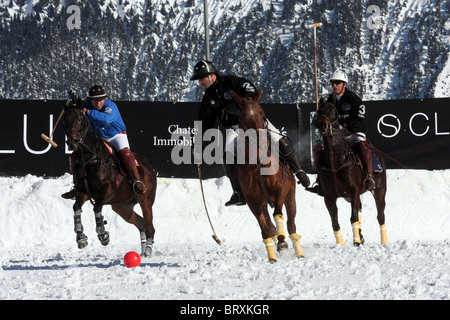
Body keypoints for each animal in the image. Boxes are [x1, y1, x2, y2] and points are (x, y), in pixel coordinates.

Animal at [61, 99, 156, 256]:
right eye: (64, 120)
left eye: (80, 119)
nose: (72, 142)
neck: (90, 159)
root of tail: (149, 167)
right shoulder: (83, 192)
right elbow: (76, 208)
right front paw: (81, 237)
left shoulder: (108, 191)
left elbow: (97, 207)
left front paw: (103, 235)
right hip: (122, 206)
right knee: (141, 223)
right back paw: (142, 252)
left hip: (146, 200)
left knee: (150, 227)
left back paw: (148, 251)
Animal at [234, 89, 304, 264]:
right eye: (243, 115)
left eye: (262, 112)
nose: (261, 140)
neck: (257, 163)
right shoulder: (252, 200)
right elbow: (264, 227)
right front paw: (271, 255)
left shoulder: (279, 191)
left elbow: (278, 215)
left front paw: (282, 243)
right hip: (263, 202)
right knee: (268, 222)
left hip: (290, 195)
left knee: (291, 225)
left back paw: (298, 252)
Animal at [314, 99, 388, 246]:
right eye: (319, 110)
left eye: (333, 110)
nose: (322, 125)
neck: (336, 162)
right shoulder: (329, 197)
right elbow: (335, 222)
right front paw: (341, 244)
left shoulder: (353, 191)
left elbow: (353, 218)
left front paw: (356, 242)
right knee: (359, 209)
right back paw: (361, 235)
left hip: (379, 190)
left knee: (380, 215)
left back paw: (384, 241)